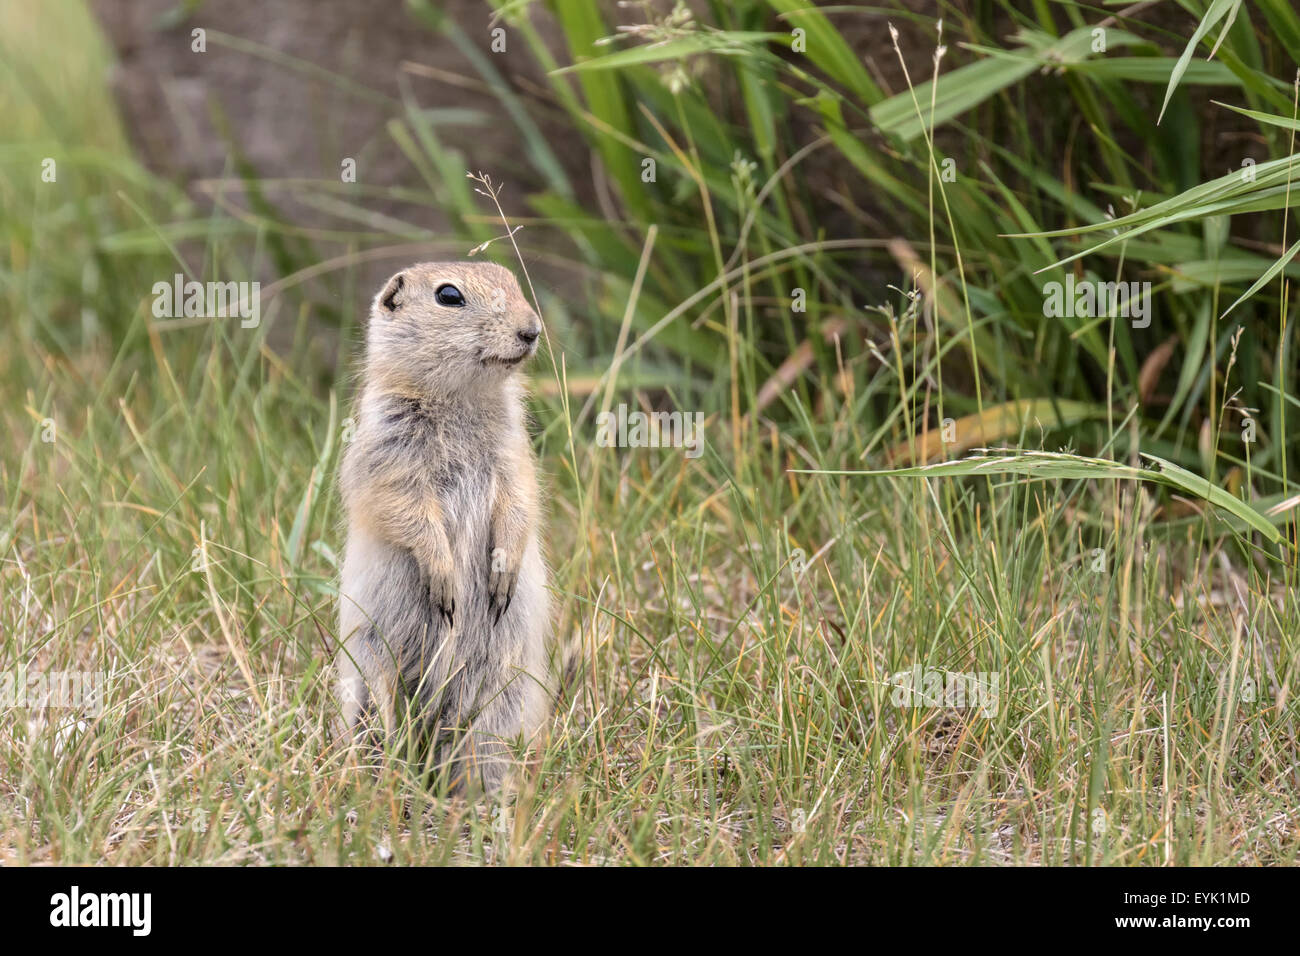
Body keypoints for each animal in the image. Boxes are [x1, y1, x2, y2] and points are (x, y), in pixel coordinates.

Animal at [335, 261, 552, 793]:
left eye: (511, 278)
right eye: (449, 296)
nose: (532, 330)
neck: (461, 399)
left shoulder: (515, 455)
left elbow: (520, 501)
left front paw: (501, 577)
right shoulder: (388, 450)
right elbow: (405, 509)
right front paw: (445, 579)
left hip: (504, 694)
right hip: (370, 670)